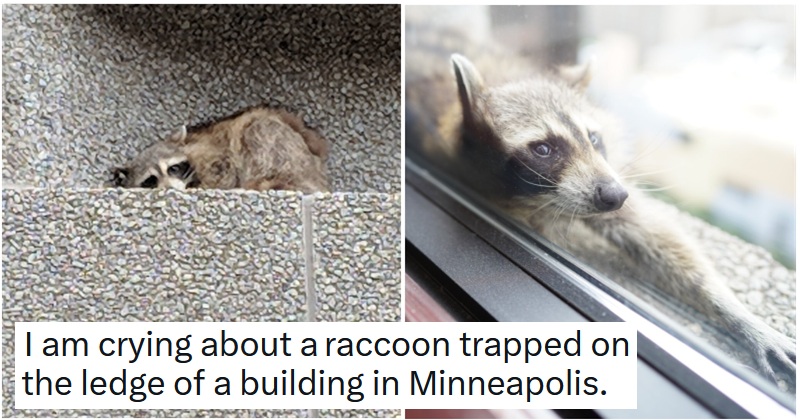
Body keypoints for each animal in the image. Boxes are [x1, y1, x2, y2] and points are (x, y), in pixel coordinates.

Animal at [113, 106, 329, 193]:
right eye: (150, 181)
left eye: (173, 168)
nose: (169, 190)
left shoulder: (206, 153)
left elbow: (224, 169)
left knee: (257, 129)